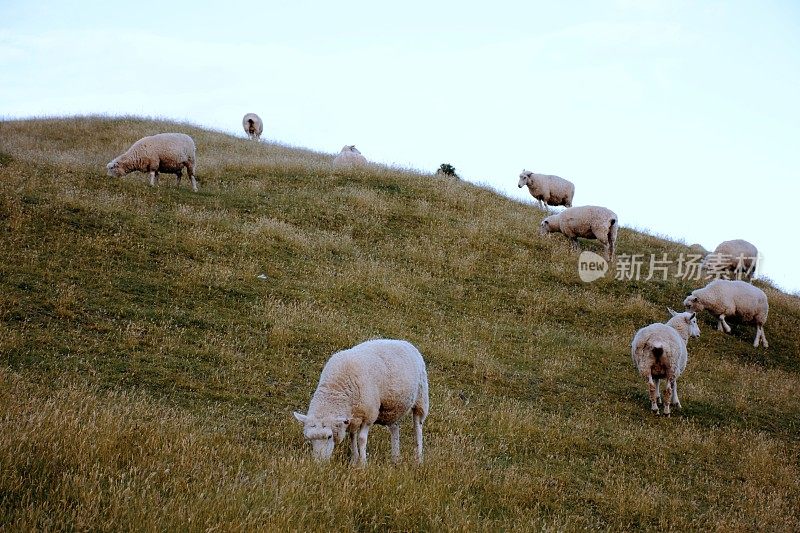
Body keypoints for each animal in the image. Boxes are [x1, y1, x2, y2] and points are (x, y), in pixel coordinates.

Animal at [294, 338, 432, 464]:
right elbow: (352, 437)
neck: (336, 390)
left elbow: (361, 439)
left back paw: (419, 458)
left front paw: (363, 463)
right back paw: (395, 458)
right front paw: (354, 460)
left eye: (329, 436)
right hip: (392, 407)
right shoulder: (352, 417)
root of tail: (404, 342)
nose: (318, 463)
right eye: (309, 438)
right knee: (395, 428)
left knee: (417, 427)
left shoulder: (369, 415)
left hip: (421, 398)